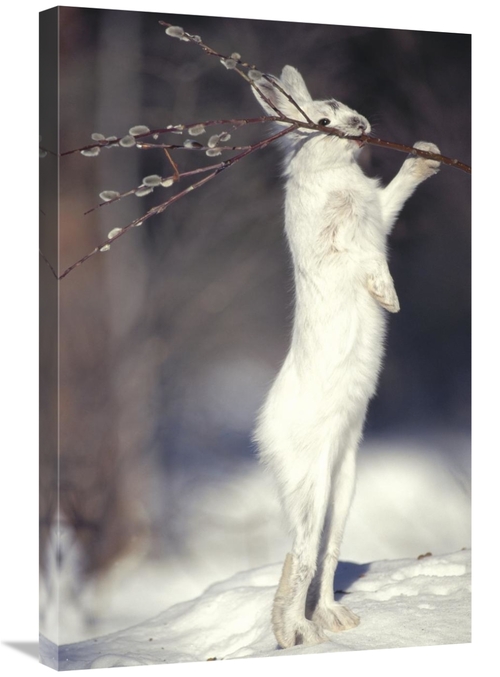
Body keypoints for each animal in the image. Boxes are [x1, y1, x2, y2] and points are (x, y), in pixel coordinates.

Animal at [251, 66, 440, 649]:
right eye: (321, 121)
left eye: (343, 104)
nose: (360, 125)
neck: (334, 173)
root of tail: (263, 436)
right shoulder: (335, 245)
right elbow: (365, 259)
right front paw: (389, 298)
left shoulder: (378, 212)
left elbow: (394, 196)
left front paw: (426, 155)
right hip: (311, 481)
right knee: (304, 555)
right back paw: (301, 635)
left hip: (345, 482)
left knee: (325, 555)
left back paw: (335, 621)